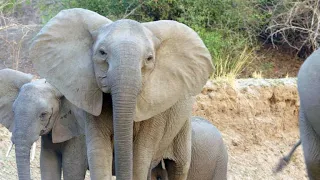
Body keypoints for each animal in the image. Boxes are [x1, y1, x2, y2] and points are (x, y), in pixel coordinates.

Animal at [29, 7, 212, 179]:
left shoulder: (155, 111)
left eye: (149, 58)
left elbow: (140, 157)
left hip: (183, 123)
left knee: (178, 166)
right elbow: (99, 153)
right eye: (102, 53)